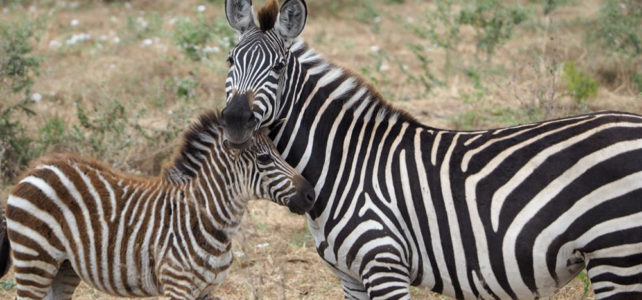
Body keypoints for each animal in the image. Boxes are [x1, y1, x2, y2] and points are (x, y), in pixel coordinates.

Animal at [0, 110, 316, 300]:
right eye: (264, 159)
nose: (311, 195)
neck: (206, 220)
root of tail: (32, 171)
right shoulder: (178, 286)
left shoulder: (207, 290)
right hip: (34, 259)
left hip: (62, 267)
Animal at [219, 1, 640, 298]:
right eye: (230, 60)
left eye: (278, 68)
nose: (235, 120)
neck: (344, 166)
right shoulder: (351, 278)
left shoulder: (385, 265)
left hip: (618, 258)